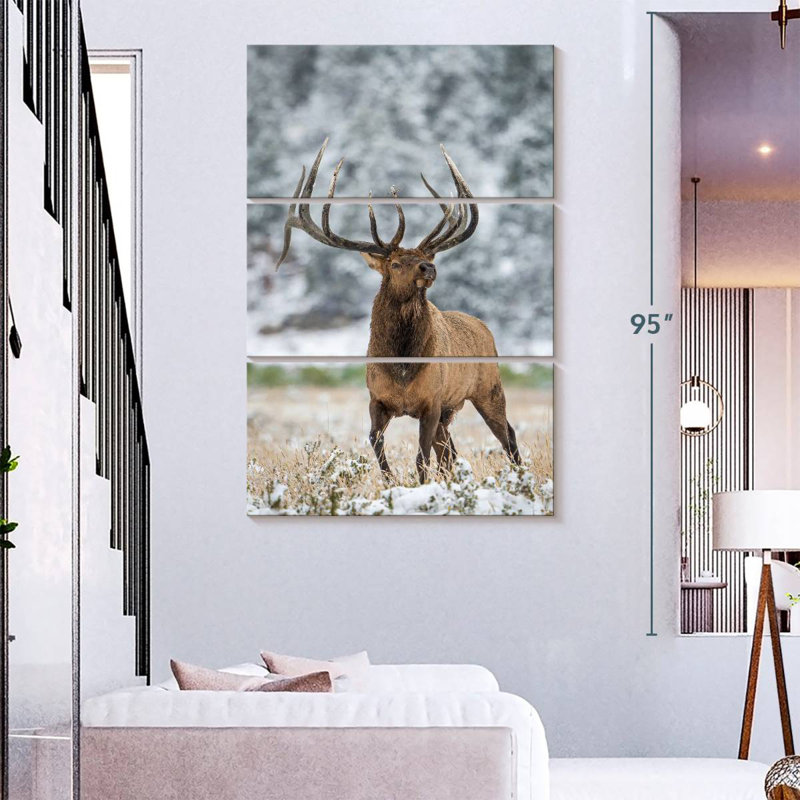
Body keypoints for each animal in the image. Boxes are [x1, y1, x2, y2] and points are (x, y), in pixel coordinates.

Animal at [274, 139, 522, 484]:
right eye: (393, 263)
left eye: (424, 257)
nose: (428, 267)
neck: (402, 366)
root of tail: (485, 327)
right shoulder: (377, 400)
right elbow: (376, 444)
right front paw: (391, 481)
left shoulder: (431, 403)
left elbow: (421, 459)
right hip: (452, 410)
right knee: (451, 452)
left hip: (488, 389)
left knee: (507, 436)